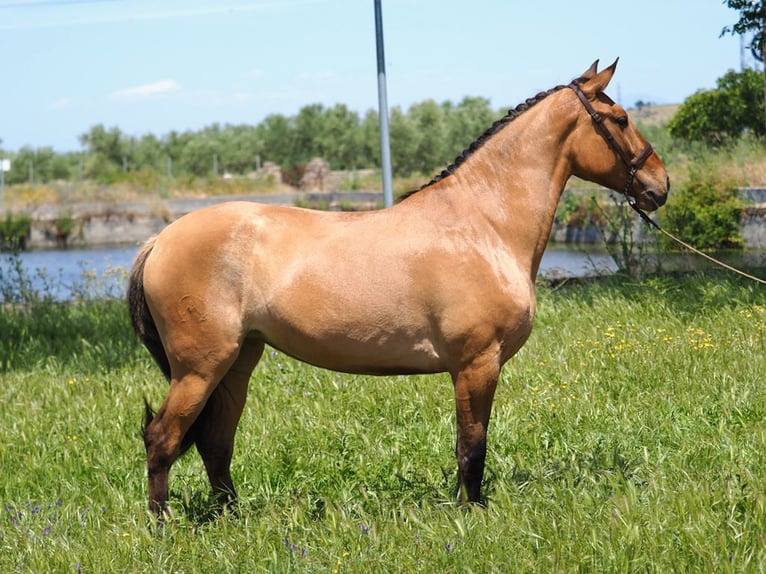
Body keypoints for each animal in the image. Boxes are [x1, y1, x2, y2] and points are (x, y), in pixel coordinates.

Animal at [129, 59, 668, 516]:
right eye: (620, 118)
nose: (660, 186)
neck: (483, 224)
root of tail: (160, 240)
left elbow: (467, 446)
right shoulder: (476, 364)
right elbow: (472, 446)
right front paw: (472, 515)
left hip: (238, 362)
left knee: (215, 442)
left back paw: (232, 517)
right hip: (201, 368)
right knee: (163, 439)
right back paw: (161, 525)